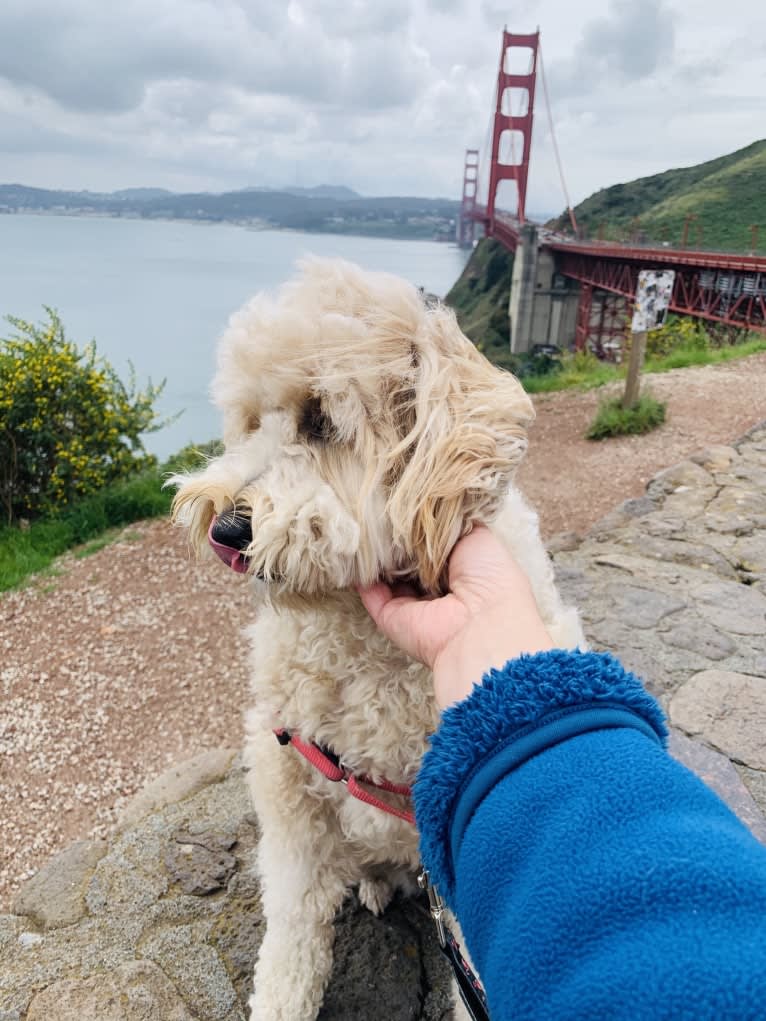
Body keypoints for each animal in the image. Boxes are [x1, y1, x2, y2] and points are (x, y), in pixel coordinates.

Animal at [170, 259, 584, 1016]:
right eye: (251, 421)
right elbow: (291, 940)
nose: (225, 528)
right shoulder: (288, 792)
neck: (359, 643)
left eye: (321, 419)